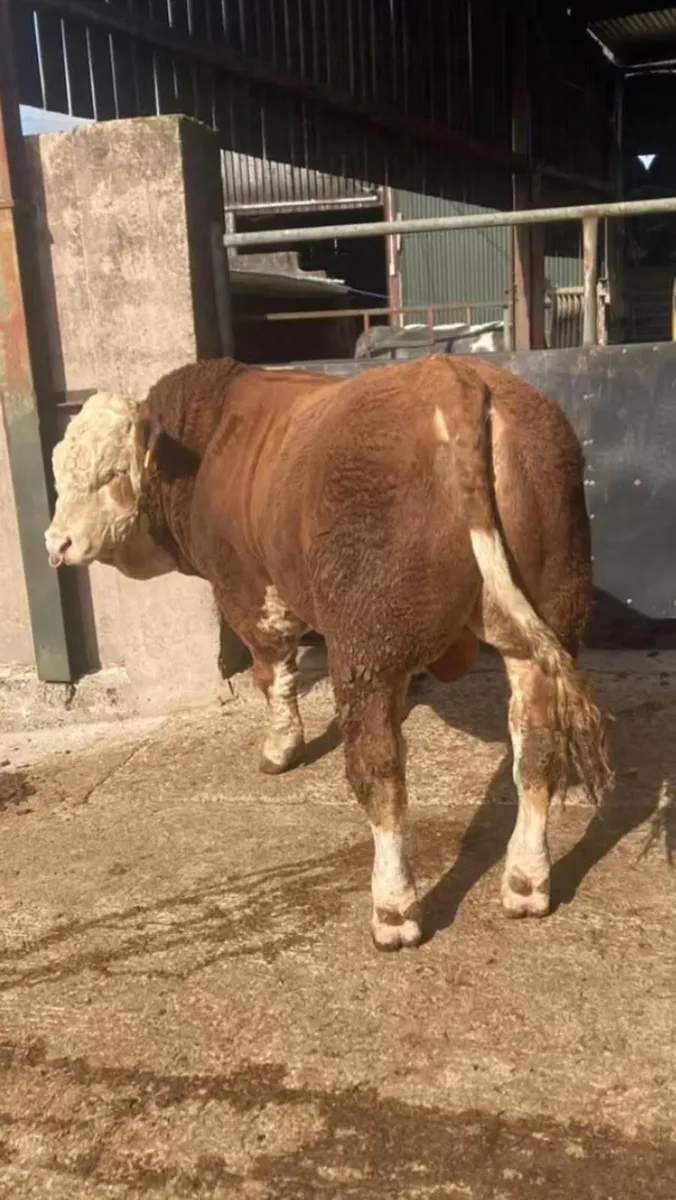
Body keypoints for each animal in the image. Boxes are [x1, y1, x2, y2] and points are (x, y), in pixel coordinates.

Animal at [45, 355, 613, 950]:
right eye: (59, 475)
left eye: (112, 474)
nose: (55, 544)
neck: (206, 444)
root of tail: (453, 377)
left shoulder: (245, 588)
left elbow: (273, 671)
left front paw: (280, 747)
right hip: (546, 617)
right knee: (537, 747)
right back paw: (527, 880)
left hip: (368, 639)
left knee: (380, 771)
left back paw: (394, 908)